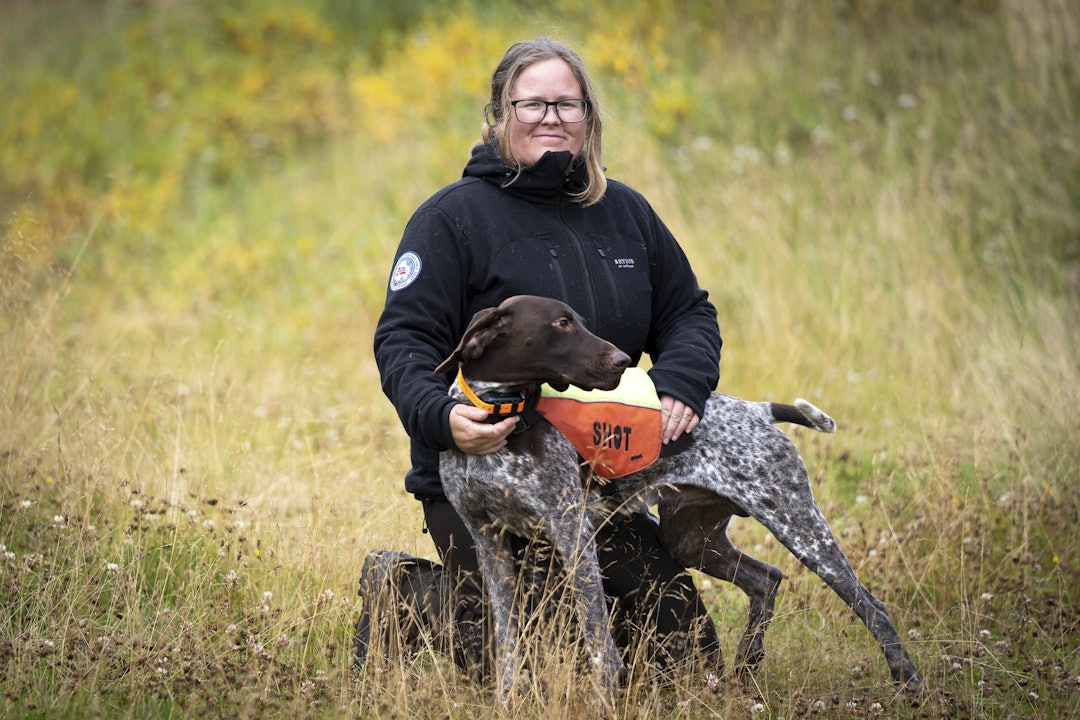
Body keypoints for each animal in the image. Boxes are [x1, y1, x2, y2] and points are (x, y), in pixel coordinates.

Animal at [434, 295, 924, 708]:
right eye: (561, 323)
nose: (622, 360)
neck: (501, 419)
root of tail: (759, 410)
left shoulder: (572, 535)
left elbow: (599, 644)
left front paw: (603, 701)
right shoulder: (489, 542)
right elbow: (508, 642)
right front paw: (507, 700)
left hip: (797, 524)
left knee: (870, 605)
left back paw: (908, 682)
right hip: (690, 537)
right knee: (766, 578)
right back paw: (746, 666)